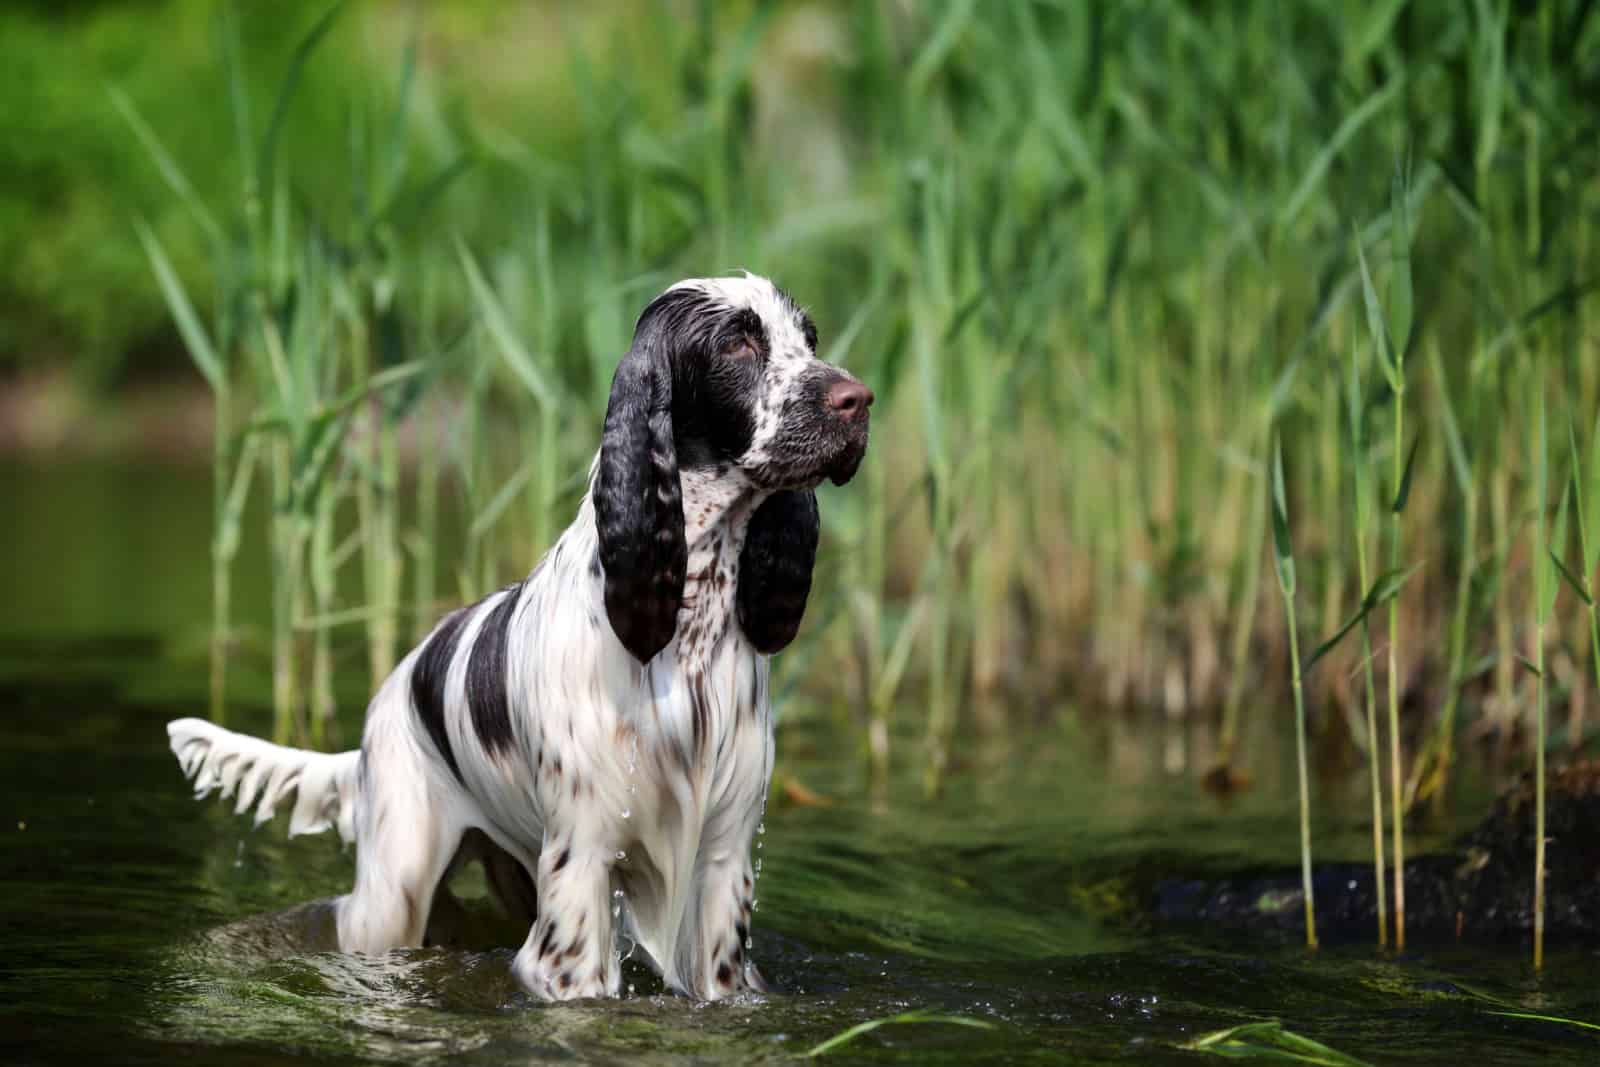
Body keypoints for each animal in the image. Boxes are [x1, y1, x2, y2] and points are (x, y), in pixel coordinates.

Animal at [167, 273, 870, 1004]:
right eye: (737, 343)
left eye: (809, 338)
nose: (858, 400)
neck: (685, 625)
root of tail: (392, 692)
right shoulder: (583, 866)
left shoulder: (722, 864)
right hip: (393, 891)